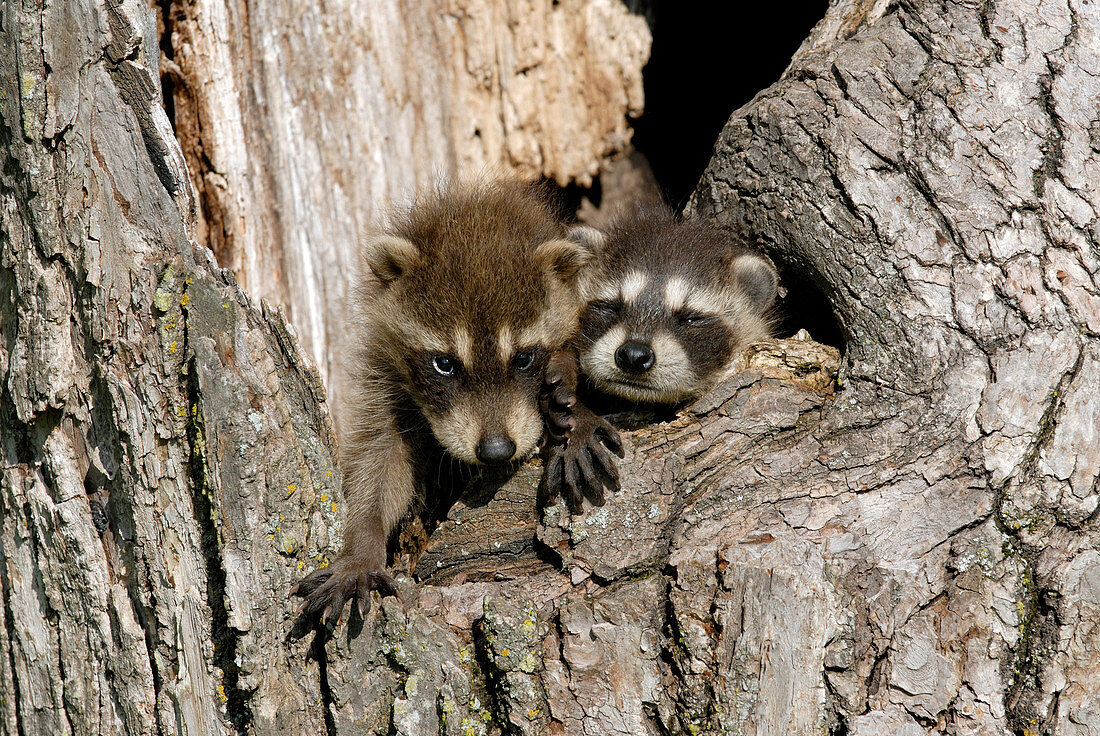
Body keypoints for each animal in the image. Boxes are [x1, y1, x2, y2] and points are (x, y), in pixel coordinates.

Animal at [288, 179, 589, 620]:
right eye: (445, 363)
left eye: (523, 358)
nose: (496, 450)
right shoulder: (386, 382)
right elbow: (379, 460)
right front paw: (363, 542)